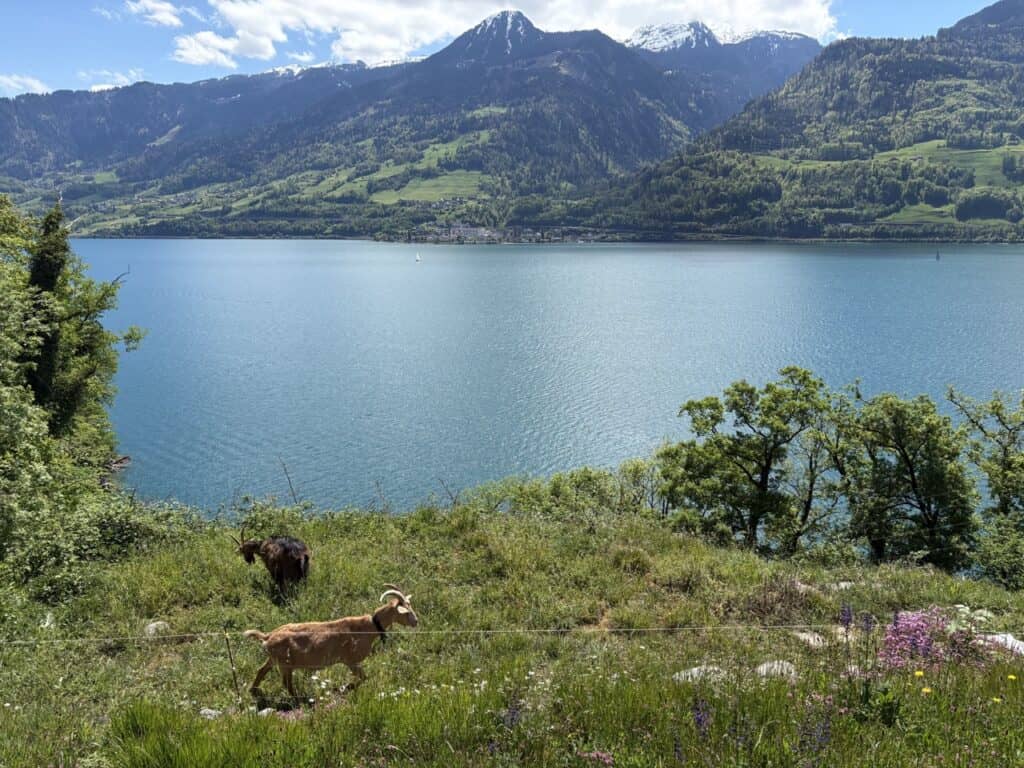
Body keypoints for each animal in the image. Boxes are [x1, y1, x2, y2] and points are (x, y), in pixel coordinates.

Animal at [244, 586, 417, 698]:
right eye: (406, 611)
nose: (416, 622)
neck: (369, 626)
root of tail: (267, 636)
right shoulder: (351, 661)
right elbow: (363, 678)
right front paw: (346, 687)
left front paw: (346, 687)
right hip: (284, 663)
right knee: (286, 683)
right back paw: (298, 698)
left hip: (274, 659)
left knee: (261, 670)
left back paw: (254, 690)